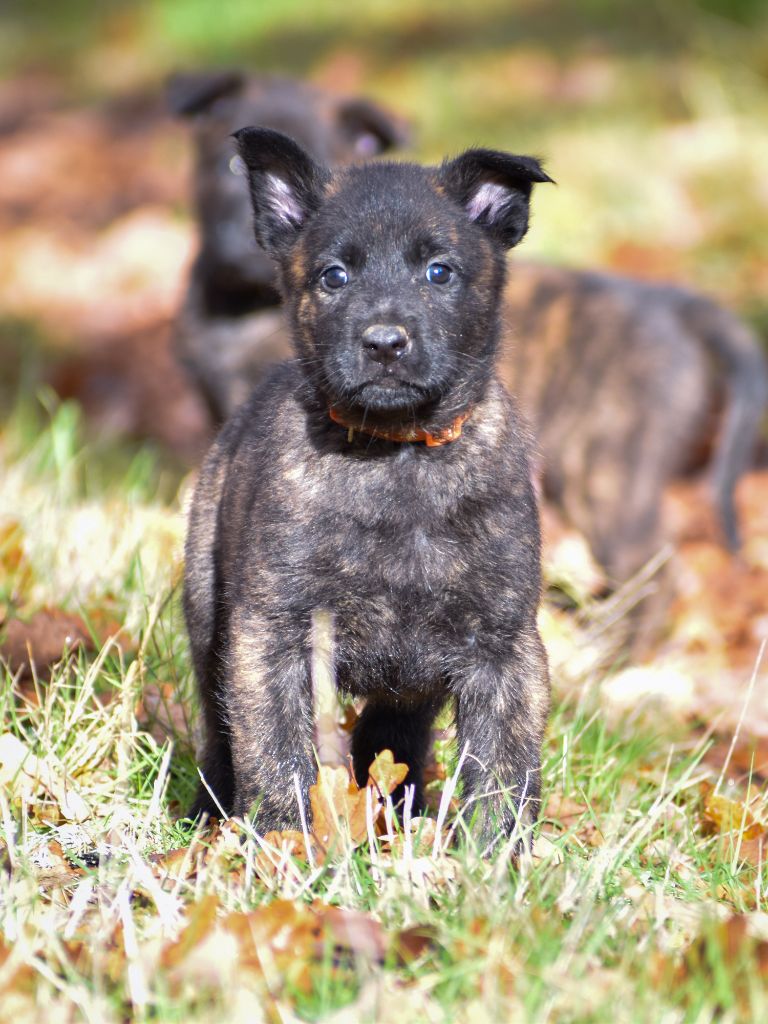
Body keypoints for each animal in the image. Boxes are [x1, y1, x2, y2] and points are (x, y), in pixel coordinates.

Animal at [183, 128, 552, 846]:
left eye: (439, 272)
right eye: (335, 276)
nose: (384, 343)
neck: (397, 457)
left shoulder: (503, 646)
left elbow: (503, 762)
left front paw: (496, 856)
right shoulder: (271, 634)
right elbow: (275, 750)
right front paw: (285, 844)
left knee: (391, 737)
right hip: (208, 618)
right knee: (219, 731)